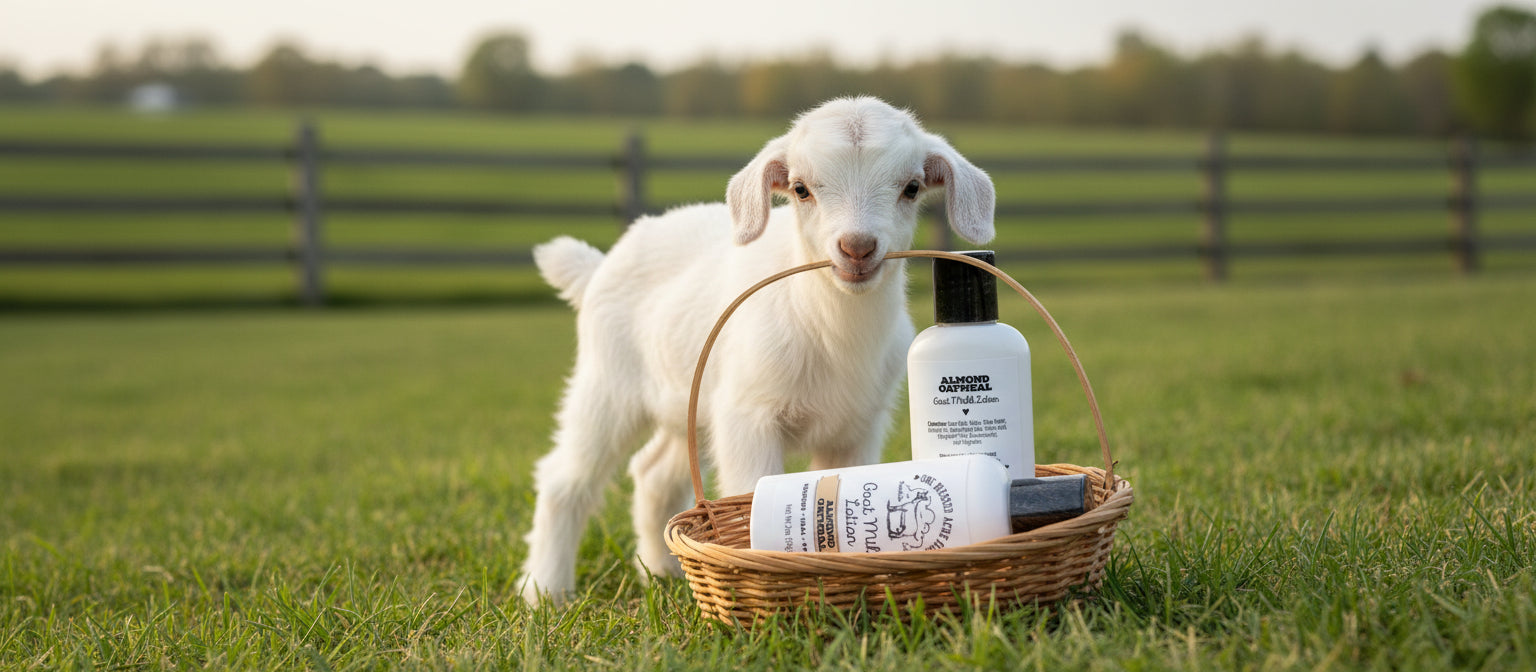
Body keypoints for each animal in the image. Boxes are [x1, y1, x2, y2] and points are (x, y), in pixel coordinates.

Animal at [518, 97, 995, 604]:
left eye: (911, 187)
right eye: (801, 189)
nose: (857, 248)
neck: (832, 328)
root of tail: (598, 265)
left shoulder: (857, 428)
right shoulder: (747, 418)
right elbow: (748, 494)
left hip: (687, 405)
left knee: (652, 474)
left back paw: (658, 571)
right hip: (607, 385)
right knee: (565, 479)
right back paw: (543, 591)